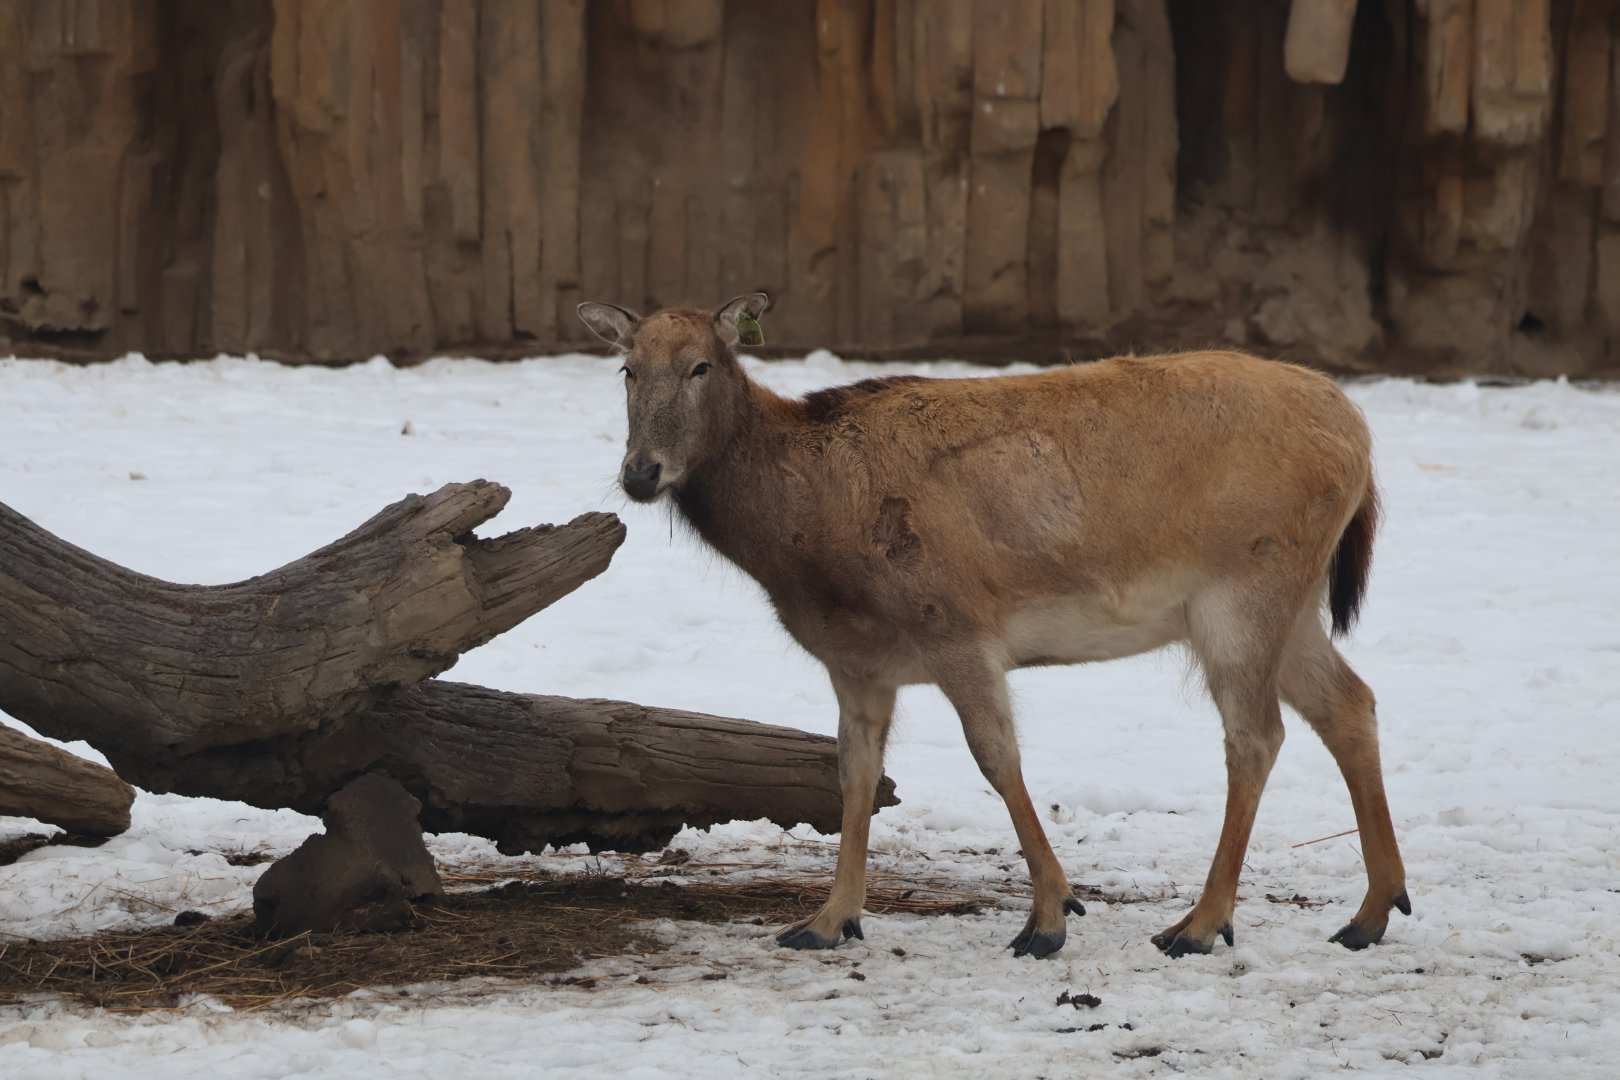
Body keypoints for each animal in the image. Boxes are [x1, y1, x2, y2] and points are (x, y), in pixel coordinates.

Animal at [577, 293, 1409, 959]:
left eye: (701, 366)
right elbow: (854, 772)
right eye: (627, 370)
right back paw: (1371, 911)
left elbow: (997, 759)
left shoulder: (958, 627)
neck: (807, 551)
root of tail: (1361, 438)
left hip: (1242, 590)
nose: (641, 473)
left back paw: (1201, 924)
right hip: (1294, 605)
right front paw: (829, 918)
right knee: (1351, 702)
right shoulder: (856, 661)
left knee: (1256, 735)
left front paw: (1049, 917)